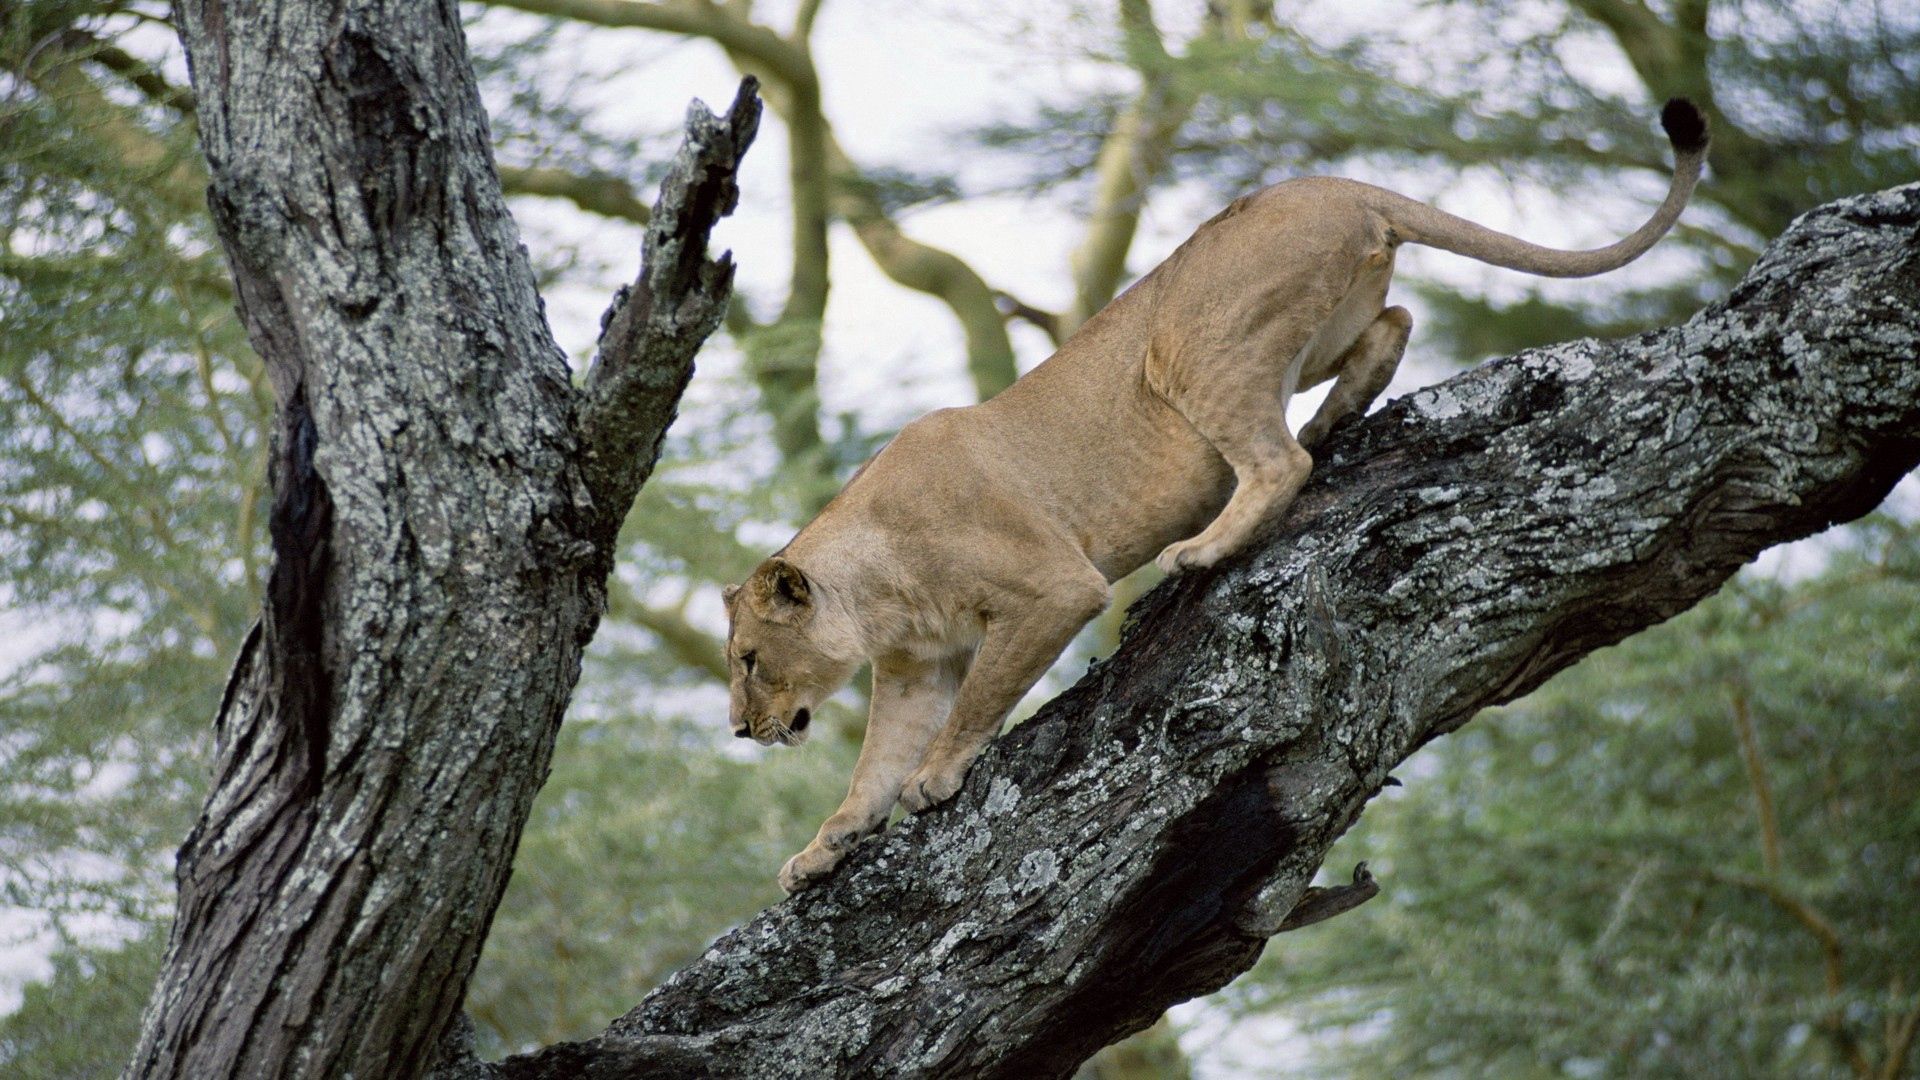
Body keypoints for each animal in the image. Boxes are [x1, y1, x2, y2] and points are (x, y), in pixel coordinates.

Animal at [721, 100, 1712, 891]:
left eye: (747, 660)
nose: (738, 730)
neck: (877, 590)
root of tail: (1337, 184)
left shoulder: (1051, 590)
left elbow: (975, 704)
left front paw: (937, 776)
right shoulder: (913, 668)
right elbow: (869, 767)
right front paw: (824, 847)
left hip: (1190, 346)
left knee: (1280, 463)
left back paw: (1205, 547)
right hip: (1307, 329)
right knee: (1390, 329)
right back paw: (1333, 421)